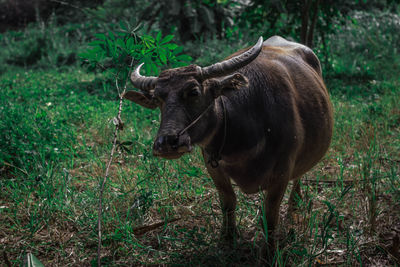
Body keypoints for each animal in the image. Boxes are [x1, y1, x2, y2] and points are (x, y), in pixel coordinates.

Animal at [123, 35, 332, 260]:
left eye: (193, 92)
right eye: (158, 98)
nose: (166, 142)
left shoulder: (283, 170)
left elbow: (271, 211)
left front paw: (269, 252)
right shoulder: (212, 164)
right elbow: (228, 201)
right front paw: (227, 239)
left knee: (299, 177)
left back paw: (295, 206)